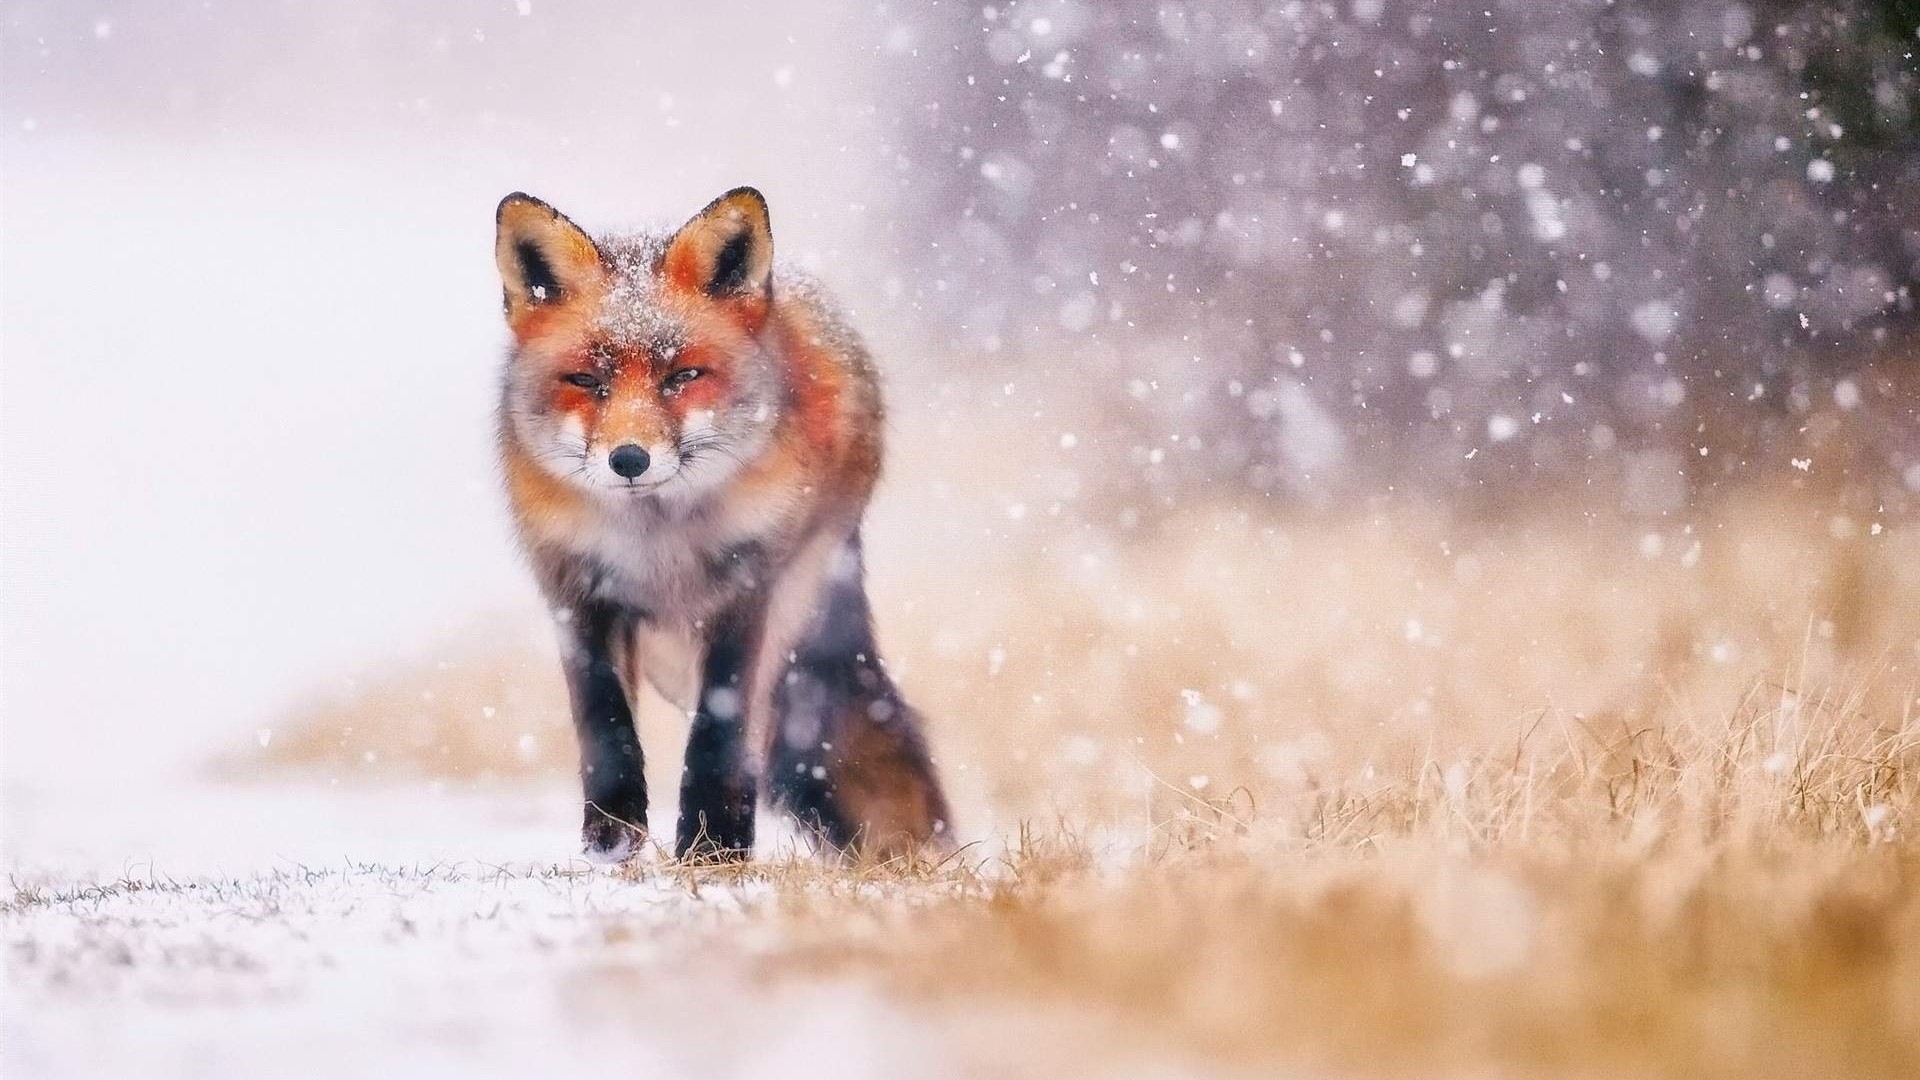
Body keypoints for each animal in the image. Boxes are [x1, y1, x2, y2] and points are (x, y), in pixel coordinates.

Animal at [492, 187, 950, 864]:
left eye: (682, 376)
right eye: (586, 381)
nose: (629, 459)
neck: (659, 543)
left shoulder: (747, 588)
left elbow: (721, 728)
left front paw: (714, 847)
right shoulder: (574, 590)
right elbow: (604, 725)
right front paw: (612, 841)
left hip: (795, 597)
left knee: (763, 728)